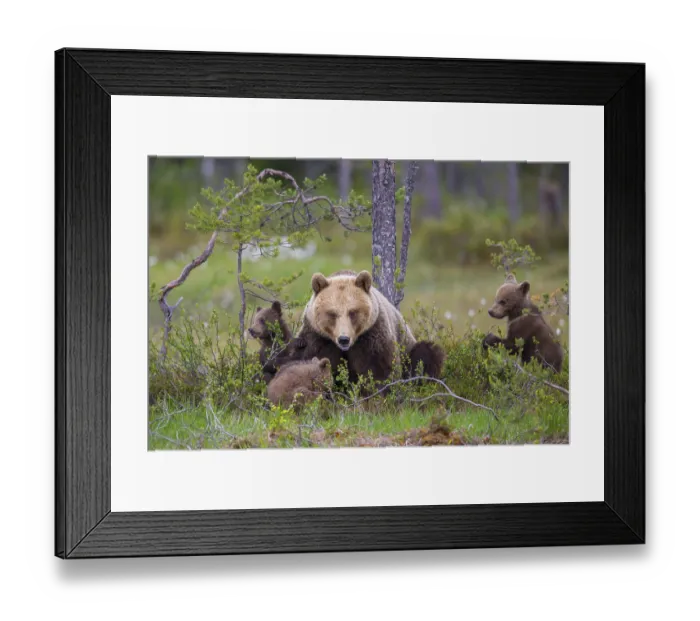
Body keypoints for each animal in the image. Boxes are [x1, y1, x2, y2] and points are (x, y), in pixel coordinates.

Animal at [289, 269, 444, 384]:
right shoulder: (318, 338)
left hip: (408, 348)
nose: (344, 339)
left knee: (426, 354)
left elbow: (379, 371)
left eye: (353, 312)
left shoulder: (372, 337)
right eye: (332, 313)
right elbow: (305, 358)